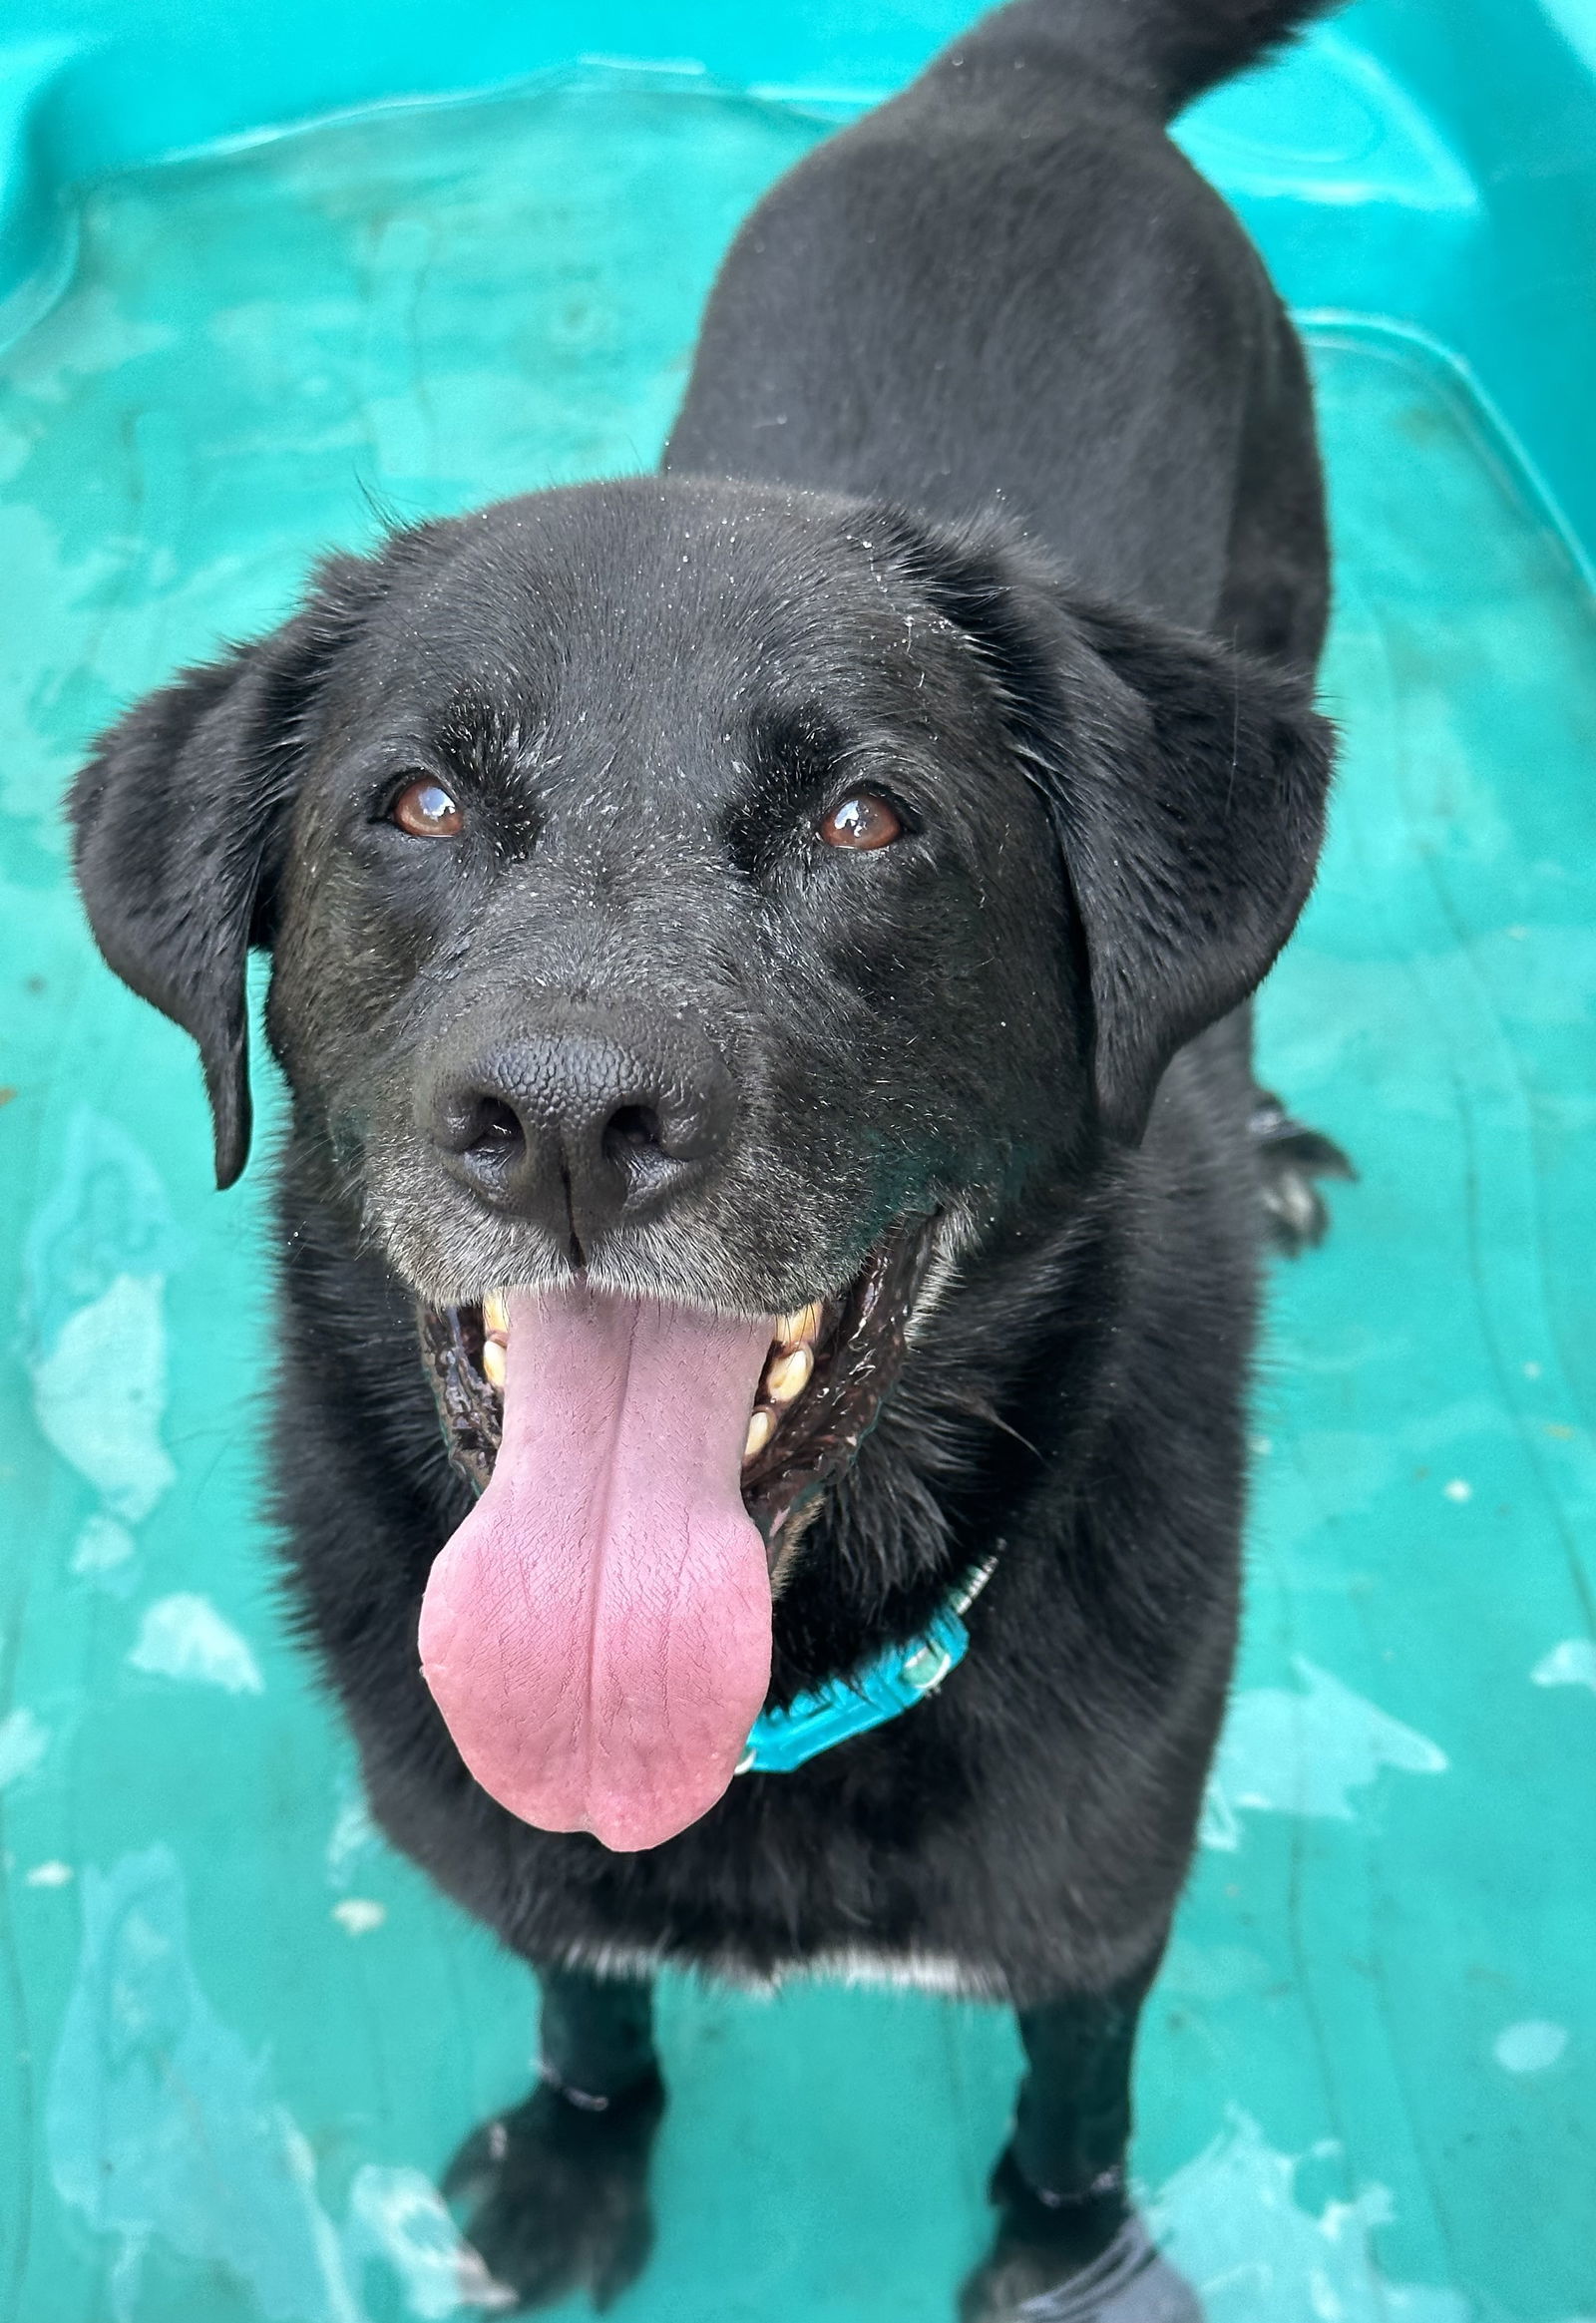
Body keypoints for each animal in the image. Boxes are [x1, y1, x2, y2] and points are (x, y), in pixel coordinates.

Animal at [71, 9, 1347, 2313]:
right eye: (414, 807)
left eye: (868, 819)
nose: (567, 1119)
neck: (775, 1666)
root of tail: (1028, 85)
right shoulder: (525, 1853)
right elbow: (585, 1989)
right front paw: (582, 2159)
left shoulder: (1104, 1905)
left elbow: (1073, 2110)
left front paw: (1068, 2255)